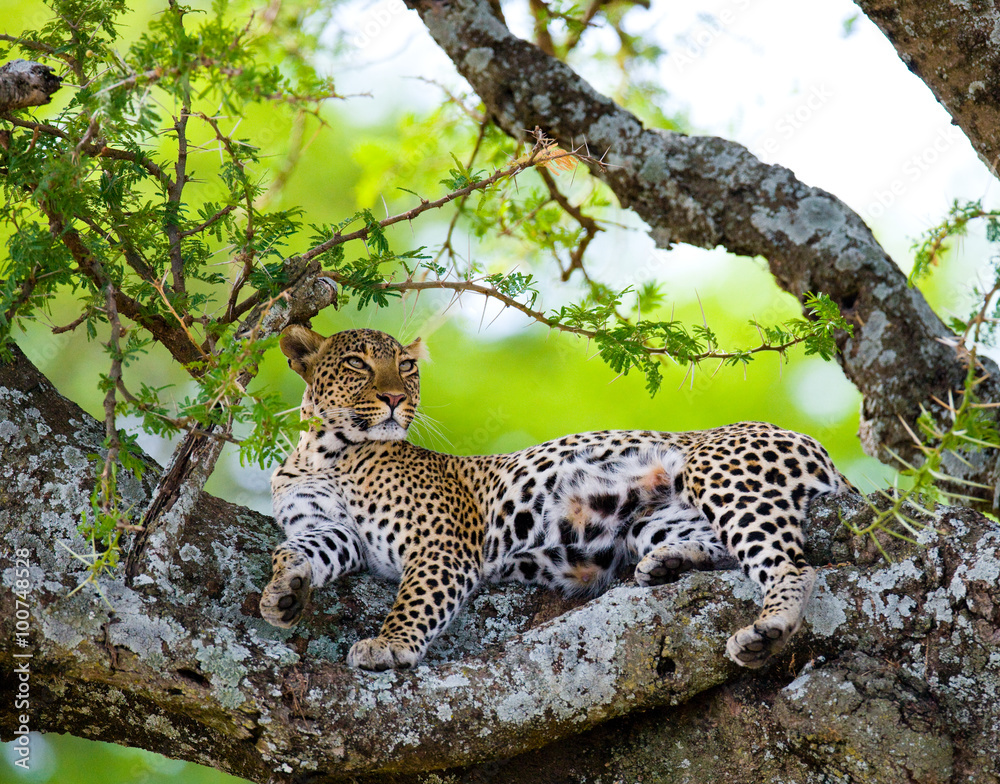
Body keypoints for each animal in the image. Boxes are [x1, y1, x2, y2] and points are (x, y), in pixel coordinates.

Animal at [259, 325, 855, 671]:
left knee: (792, 564)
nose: (393, 399)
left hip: (721, 473)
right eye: (357, 364)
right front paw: (282, 594)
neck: (327, 452)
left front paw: (390, 644)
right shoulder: (332, 530)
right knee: (722, 547)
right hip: (652, 519)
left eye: (406, 368)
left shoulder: (441, 545)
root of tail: (811, 442)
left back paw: (766, 632)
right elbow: (294, 549)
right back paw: (667, 564)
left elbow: (417, 598)